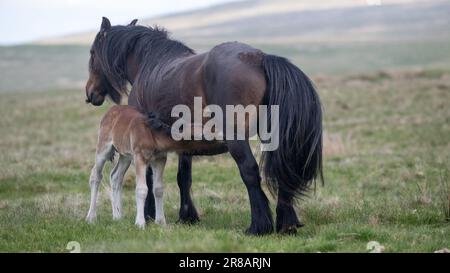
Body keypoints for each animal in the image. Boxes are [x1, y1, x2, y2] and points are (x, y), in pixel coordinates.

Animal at [85, 17, 324, 234]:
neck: (150, 64)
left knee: (250, 172)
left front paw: (149, 215)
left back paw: (258, 226)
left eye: (92, 53)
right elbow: (184, 177)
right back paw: (287, 224)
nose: (90, 93)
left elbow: (151, 178)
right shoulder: (180, 141)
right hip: (273, 136)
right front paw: (187, 216)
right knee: (282, 172)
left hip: (236, 138)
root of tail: (260, 58)